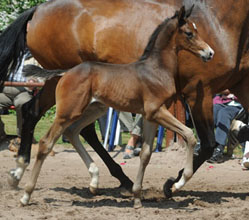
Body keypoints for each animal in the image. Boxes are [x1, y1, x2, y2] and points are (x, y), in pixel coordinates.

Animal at [1, 0, 249, 203]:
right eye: (189, 32)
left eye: (197, 30)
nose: (209, 53)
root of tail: (37, 9)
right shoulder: (194, 94)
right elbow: (198, 140)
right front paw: (173, 183)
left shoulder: (155, 114)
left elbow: (148, 153)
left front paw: (149, 191)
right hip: (68, 103)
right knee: (44, 130)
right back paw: (24, 184)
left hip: (93, 106)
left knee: (68, 127)